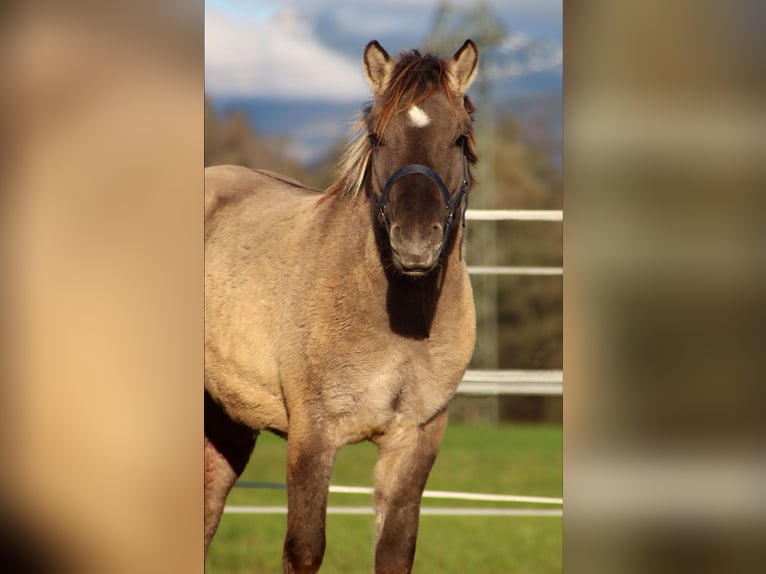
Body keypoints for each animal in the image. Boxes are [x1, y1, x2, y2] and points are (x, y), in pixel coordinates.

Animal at [204, 39, 479, 573]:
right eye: (377, 137)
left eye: (458, 139)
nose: (415, 243)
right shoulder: (313, 434)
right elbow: (305, 549)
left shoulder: (415, 438)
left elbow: (395, 551)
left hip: (225, 422)